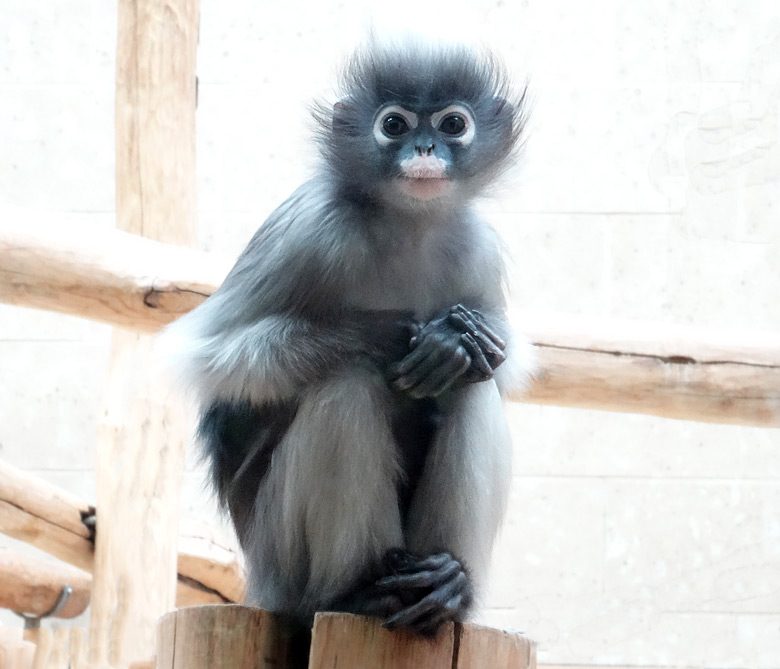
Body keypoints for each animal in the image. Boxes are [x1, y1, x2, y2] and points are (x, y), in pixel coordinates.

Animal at [166, 40, 536, 640]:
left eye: (454, 124)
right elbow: (201, 358)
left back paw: (447, 587)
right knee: (347, 385)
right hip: (279, 558)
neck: (405, 224)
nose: (425, 147)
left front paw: (462, 338)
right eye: (394, 125)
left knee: (471, 386)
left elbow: (505, 364)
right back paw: (355, 593)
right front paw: (383, 335)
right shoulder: (308, 227)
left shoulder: (475, 243)